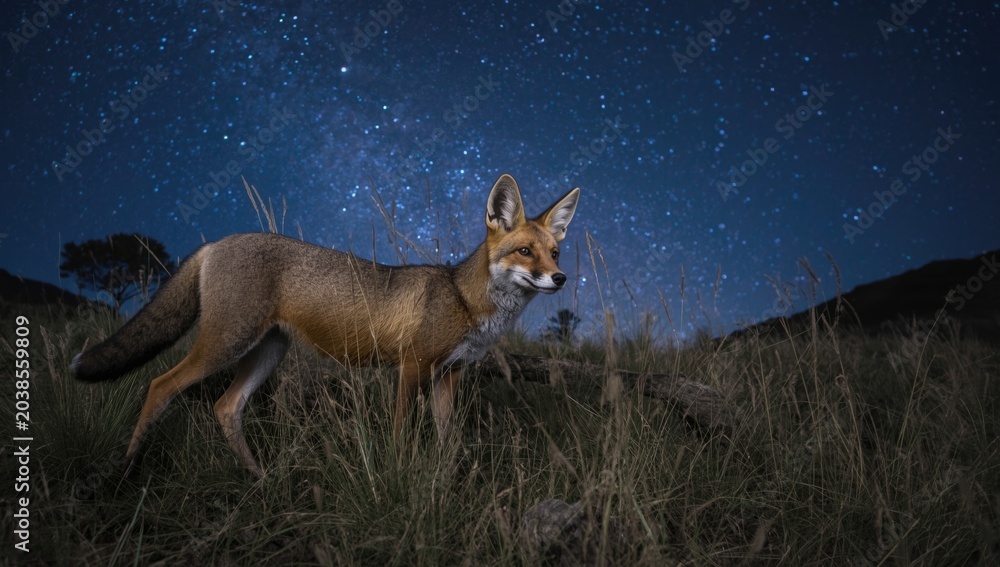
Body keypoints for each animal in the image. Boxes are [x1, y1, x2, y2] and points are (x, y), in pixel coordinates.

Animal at [72, 174, 580, 477]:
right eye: (525, 252)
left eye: (555, 252)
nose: (560, 278)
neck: (464, 299)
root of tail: (217, 242)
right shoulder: (412, 367)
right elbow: (401, 433)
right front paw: (399, 474)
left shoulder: (448, 375)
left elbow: (448, 439)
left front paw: (448, 479)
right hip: (225, 345)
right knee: (159, 385)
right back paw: (127, 468)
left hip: (266, 353)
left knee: (225, 407)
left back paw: (258, 478)